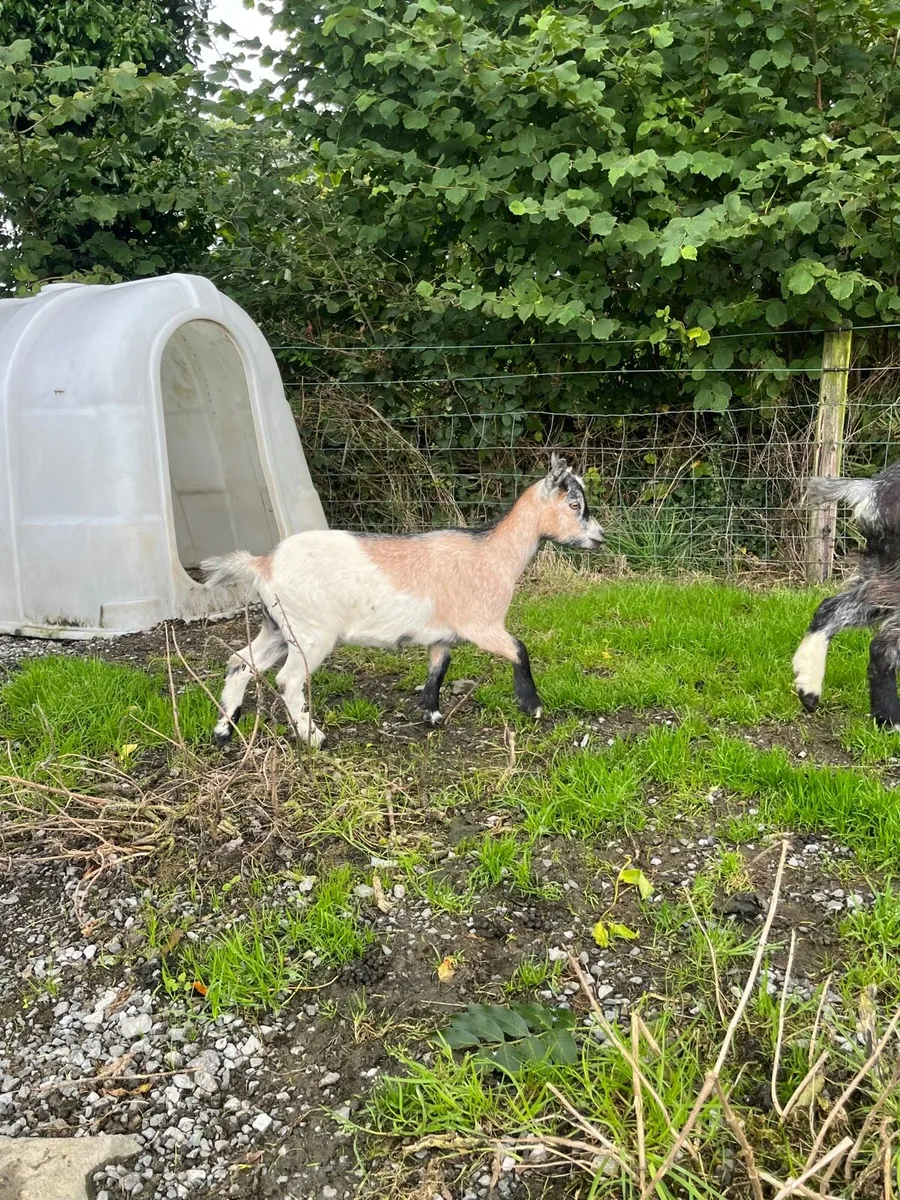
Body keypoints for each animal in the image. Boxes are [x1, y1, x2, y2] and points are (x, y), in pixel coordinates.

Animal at [203, 454, 603, 748]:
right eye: (574, 504)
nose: (599, 537)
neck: (492, 554)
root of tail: (263, 564)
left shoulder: (442, 636)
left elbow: (439, 669)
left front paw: (431, 715)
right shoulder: (482, 624)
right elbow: (520, 649)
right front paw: (532, 706)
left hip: (276, 627)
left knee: (240, 663)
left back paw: (224, 732)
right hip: (310, 632)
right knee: (288, 680)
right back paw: (313, 738)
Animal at [793, 463, 900, 727]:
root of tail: (872, 489)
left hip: (880, 574)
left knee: (830, 608)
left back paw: (807, 687)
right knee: (881, 647)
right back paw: (891, 720)